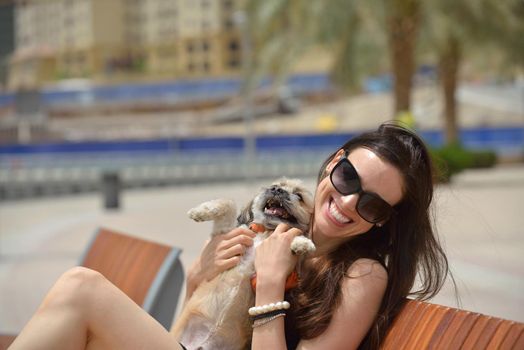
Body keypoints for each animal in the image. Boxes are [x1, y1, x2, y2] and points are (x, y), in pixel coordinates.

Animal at [171, 178, 316, 350]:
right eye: (275, 184)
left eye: (299, 196)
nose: (276, 190)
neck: (266, 231)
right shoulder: (224, 232)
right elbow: (229, 203)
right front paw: (200, 211)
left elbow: (292, 233)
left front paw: (301, 242)